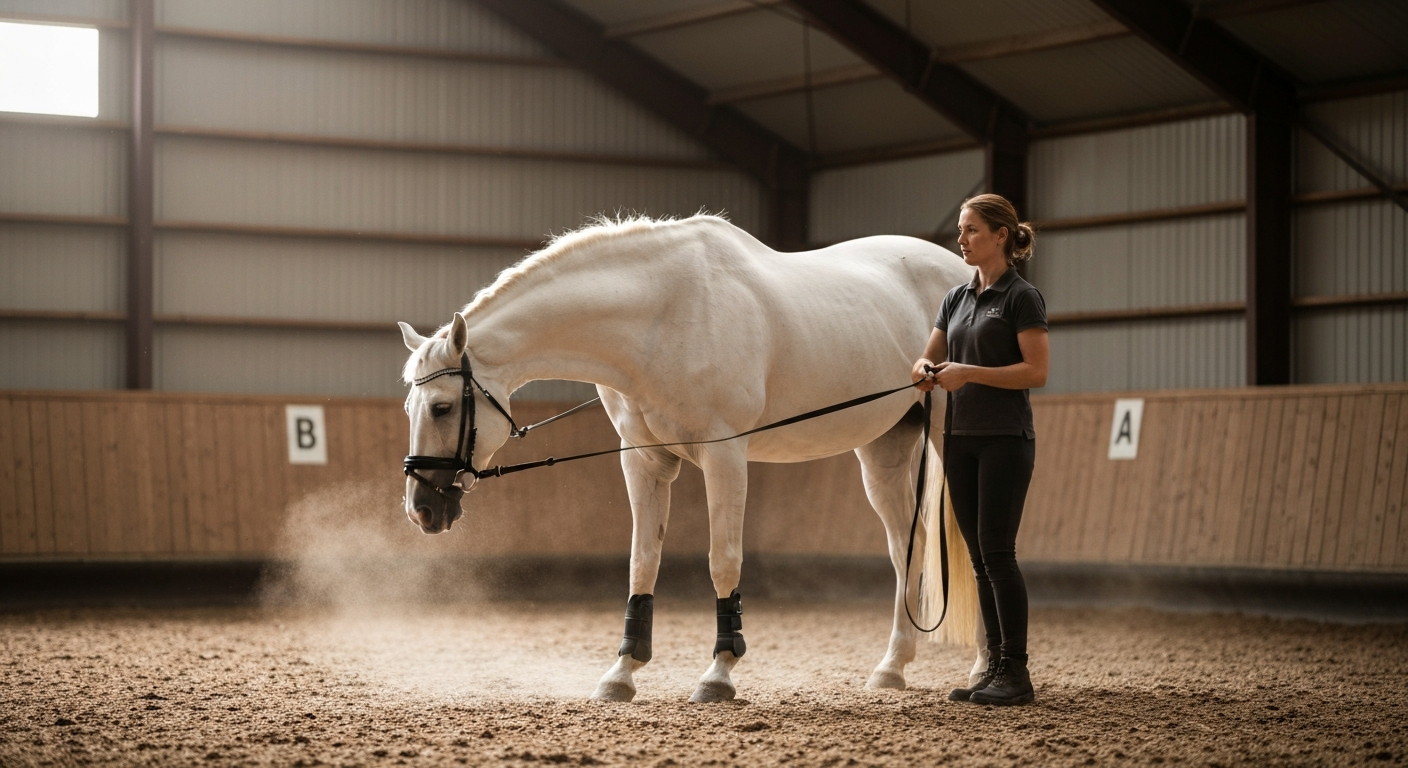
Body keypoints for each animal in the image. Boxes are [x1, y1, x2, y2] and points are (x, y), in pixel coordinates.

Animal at [397, 214, 986, 703]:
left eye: (443, 407)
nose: (422, 509)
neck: (662, 313)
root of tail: (961, 272)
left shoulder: (725, 454)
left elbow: (722, 559)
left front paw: (719, 674)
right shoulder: (643, 461)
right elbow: (642, 561)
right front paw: (622, 674)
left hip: (946, 440)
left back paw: (982, 668)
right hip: (883, 450)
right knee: (905, 547)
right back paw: (892, 667)